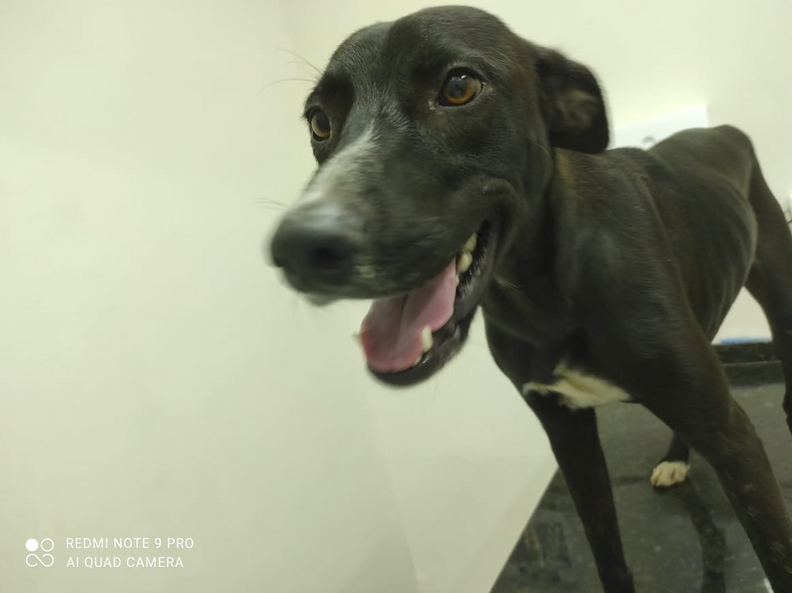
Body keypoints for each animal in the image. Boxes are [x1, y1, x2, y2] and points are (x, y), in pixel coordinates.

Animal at [268, 6, 792, 591]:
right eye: (319, 121)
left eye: (459, 86)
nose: (298, 248)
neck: (548, 295)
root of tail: (720, 129)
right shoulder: (567, 436)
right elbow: (608, 553)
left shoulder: (736, 444)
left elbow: (778, 555)